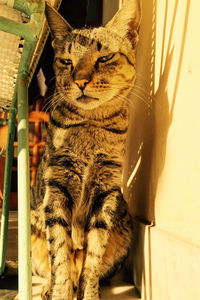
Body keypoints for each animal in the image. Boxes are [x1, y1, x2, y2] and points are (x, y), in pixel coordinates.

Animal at [30, 1, 141, 298]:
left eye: (104, 58)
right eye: (66, 61)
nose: (80, 80)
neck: (91, 125)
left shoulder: (106, 192)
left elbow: (92, 260)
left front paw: (89, 293)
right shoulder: (56, 188)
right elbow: (60, 256)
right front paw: (59, 291)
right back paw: (48, 288)